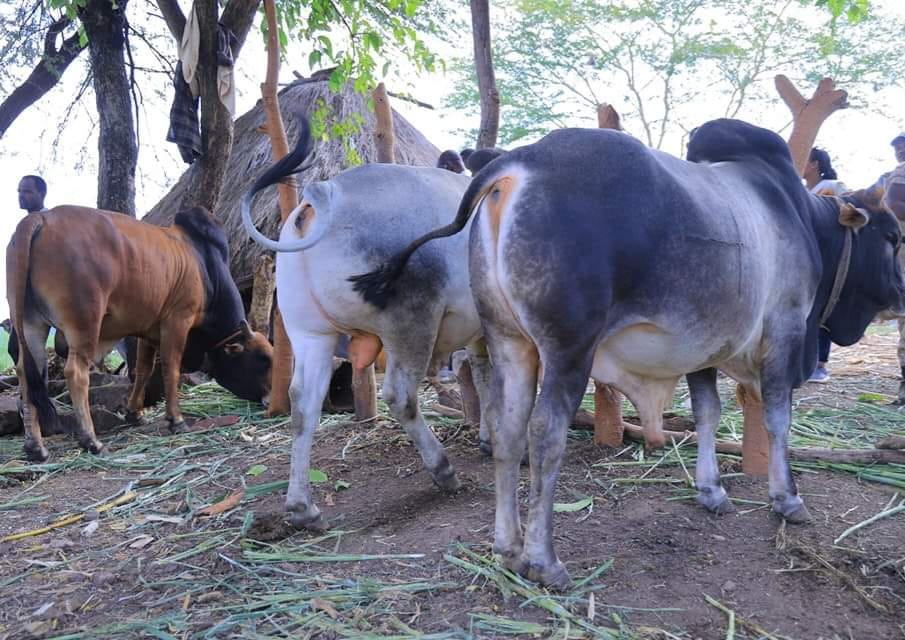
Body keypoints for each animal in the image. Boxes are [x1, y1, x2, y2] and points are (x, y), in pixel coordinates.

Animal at [7, 206, 273, 463]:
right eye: (263, 360)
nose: (271, 400)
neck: (205, 265)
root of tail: (41, 218)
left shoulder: (149, 329)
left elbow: (143, 369)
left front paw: (135, 413)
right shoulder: (178, 319)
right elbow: (171, 368)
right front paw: (176, 420)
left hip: (31, 325)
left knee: (26, 374)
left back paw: (35, 448)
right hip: (84, 324)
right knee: (76, 373)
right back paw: (91, 441)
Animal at [240, 118, 492, 531]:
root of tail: (326, 192)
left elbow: (485, 375)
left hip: (311, 333)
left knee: (303, 404)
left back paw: (303, 508)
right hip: (411, 323)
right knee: (400, 396)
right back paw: (443, 470)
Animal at [353, 118, 905, 588]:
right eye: (892, 235)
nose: (900, 294)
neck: (796, 216)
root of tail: (520, 160)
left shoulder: (702, 347)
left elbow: (708, 413)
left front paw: (712, 491)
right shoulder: (785, 329)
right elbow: (776, 418)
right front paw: (786, 499)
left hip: (510, 341)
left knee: (508, 433)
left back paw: (507, 547)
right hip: (568, 348)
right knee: (544, 435)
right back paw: (544, 561)